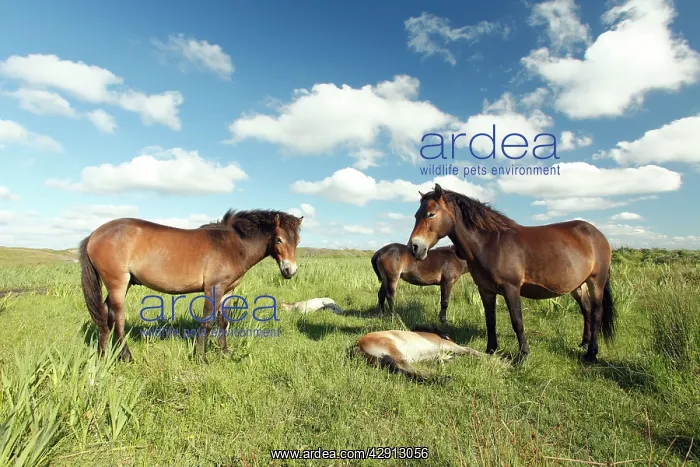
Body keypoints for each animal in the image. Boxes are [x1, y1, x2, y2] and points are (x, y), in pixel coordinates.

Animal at [78, 209, 304, 362]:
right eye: (279, 239)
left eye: (298, 241)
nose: (290, 271)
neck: (234, 244)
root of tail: (95, 234)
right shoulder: (213, 288)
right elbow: (207, 322)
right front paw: (201, 357)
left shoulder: (227, 290)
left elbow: (223, 322)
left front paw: (224, 352)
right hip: (117, 283)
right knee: (117, 320)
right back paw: (126, 357)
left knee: (104, 315)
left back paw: (102, 354)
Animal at [350, 324, 486, 381]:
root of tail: (358, 346)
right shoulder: (448, 345)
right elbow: (469, 349)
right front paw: (489, 356)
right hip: (394, 351)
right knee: (405, 366)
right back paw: (444, 379)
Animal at [406, 183, 616, 364]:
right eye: (416, 215)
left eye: (431, 214)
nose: (415, 247)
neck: (491, 244)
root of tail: (597, 234)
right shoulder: (485, 290)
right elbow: (490, 321)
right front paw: (491, 350)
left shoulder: (511, 288)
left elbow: (517, 321)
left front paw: (523, 356)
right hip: (577, 285)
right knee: (586, 309)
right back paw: (584, 343)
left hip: (596, 282)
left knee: (597, 313)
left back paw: (591, 354)